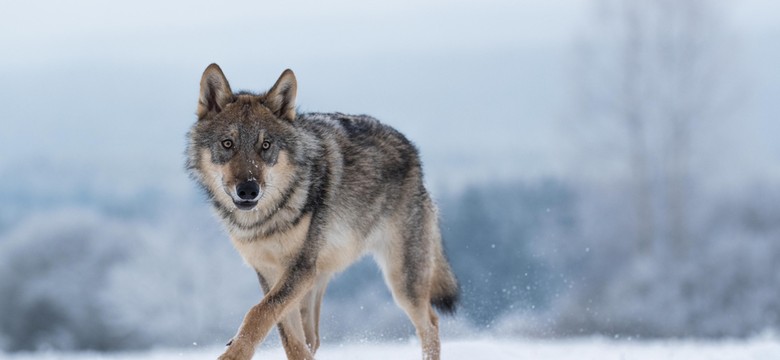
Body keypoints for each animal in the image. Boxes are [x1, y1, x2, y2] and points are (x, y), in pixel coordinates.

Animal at [187, 64, 460, 360]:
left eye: (266, 145)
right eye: (227, 144)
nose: (248, 190)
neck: (265, 219)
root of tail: (412, 151)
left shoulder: (300, 268)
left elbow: (259, 313)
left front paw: (232, 354)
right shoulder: (271, 272)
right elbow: (289, 337)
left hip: (402, 280)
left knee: (430, 323)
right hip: (318, 280)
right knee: (313, 339)